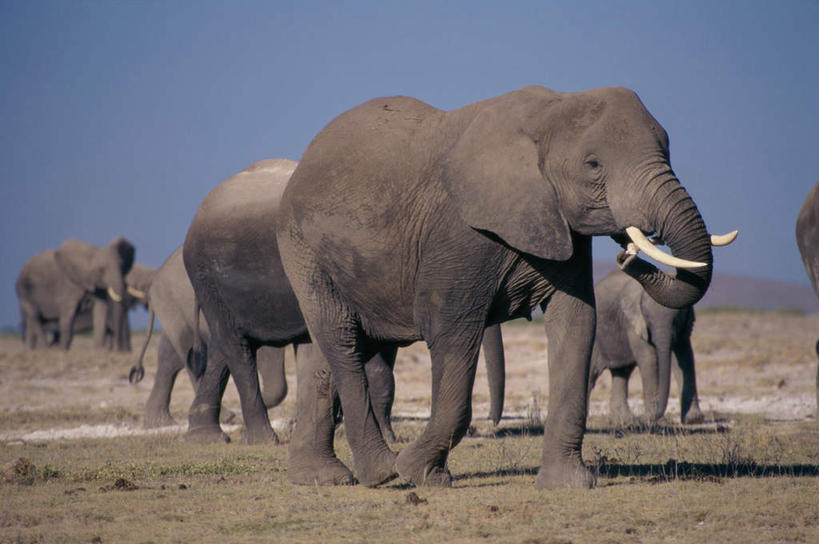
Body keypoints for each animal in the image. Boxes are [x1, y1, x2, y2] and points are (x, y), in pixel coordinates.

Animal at [183, 158, 510, 484]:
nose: (493, 426)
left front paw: (389, 439)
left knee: (222, 350)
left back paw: (207, 436)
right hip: (205, 274)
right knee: (236, 349)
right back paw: (264, 439)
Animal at [588, 268, 704, 424]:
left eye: (677, 318)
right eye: (648, 317)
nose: (642, 417)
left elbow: (685, 357)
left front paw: (693, 419)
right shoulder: (632, 323)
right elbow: (650, 360)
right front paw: (652, 420)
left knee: (622, 373)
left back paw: (627, 421)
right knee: (592, 374)